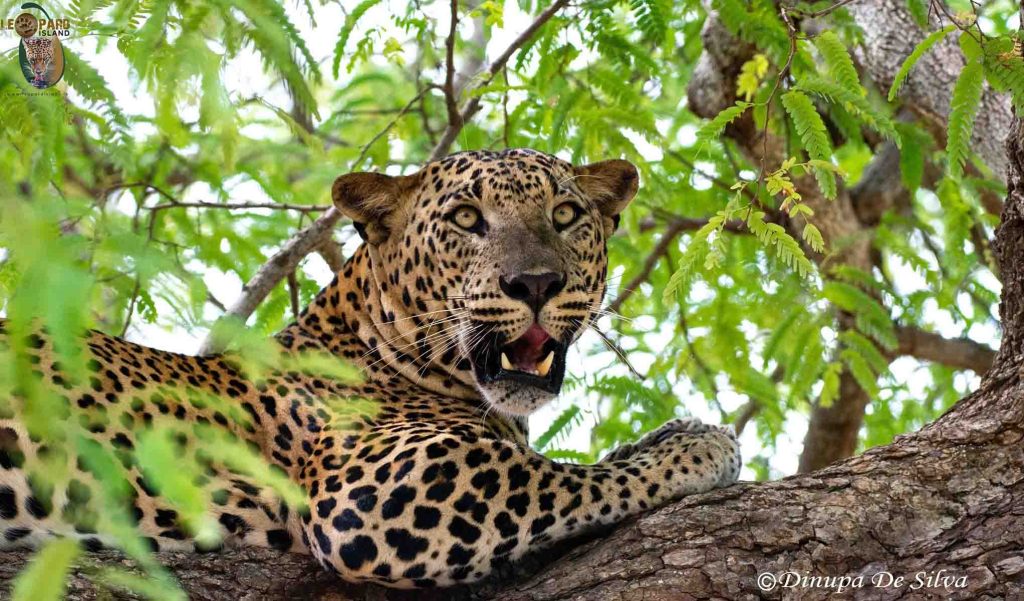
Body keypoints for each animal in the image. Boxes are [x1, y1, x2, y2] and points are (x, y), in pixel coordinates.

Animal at [0, 148, 737, 589]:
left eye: (565, 214)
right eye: (466, 218)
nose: (535, 282)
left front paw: (674, 431)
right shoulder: (377, 483)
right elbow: (574, 476)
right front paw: (698, 447)